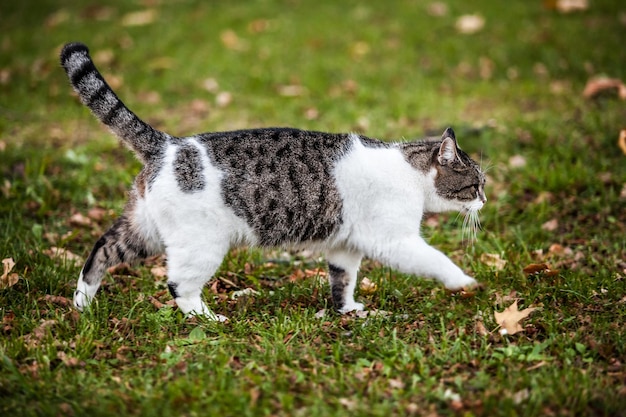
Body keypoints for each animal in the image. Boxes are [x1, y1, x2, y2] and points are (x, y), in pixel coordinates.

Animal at [59, 42, 488, 320]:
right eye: (476, 184)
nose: (485, 201)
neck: (411, 174)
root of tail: (167, 145)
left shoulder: (345, 245)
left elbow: (343, 279)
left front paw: (347, 310)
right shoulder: (394, 240)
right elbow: (436, 259)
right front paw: (463, 281)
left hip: (144, 229)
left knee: (101, 251)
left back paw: (82, 306)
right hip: (201, 244)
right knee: (178, 284)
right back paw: (206, 319)